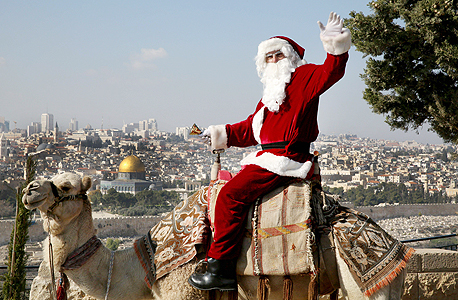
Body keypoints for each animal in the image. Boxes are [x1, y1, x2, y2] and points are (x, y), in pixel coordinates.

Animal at [23, 172, 406, 298]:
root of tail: (396, 250)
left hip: (364, 286)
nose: (29, 190)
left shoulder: (183, 290)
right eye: (51, 175)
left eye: (66, 186)